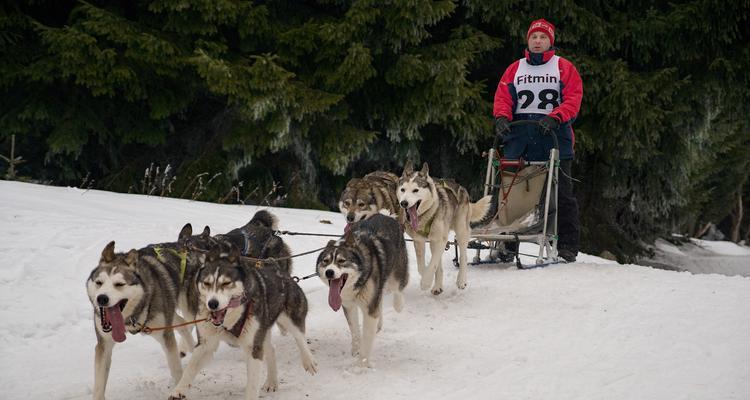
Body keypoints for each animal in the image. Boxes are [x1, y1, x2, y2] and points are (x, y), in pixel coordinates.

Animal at [87, 228, 204, 400]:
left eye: (119, 284)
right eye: (99, 283)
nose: (101, 298)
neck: (130, 318)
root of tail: (188, 245)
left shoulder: (166, 336)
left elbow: (176, 369)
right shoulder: (104, 345)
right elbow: (99, 385)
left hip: (191, 309)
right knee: (182, 324)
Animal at [170, 242, 318, 398]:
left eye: (226, 283)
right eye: (207, 283)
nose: (212, 303)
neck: (229, 320)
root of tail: (278, 269)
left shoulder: (253, 349)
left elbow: (252, 386)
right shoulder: (206, 344)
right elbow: (190, 369)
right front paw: (178, 391)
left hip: (289, 317)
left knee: (299, 336)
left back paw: (309, 361)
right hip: (262, 332)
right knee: (271, 349)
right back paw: (271, 382)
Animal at [318, 214, 412, 368]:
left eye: (342, 261)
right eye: (325, 261)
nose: (329, 272)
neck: (358, 282)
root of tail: (387, 216)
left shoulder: (369, 309)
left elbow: (367, 337)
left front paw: (361, 364)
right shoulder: (349, 305)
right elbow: (355, 330)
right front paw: (356, 349)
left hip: (396, 275)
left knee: (397, 289)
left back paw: (399, 304)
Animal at [396, 161, 496, 296]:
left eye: (415, 190)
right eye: (403, 189)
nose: (404, 203)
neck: (427, 214)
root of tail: (461, 187)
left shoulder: (440, 240)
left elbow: (433, 264)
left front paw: (425, 282)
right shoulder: (419, 241)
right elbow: (423, 266)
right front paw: (428, 278)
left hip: (461, 231)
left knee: (463, 257)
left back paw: (461, 280)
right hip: (435, 240)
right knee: (438, 263)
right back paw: (437, 286)